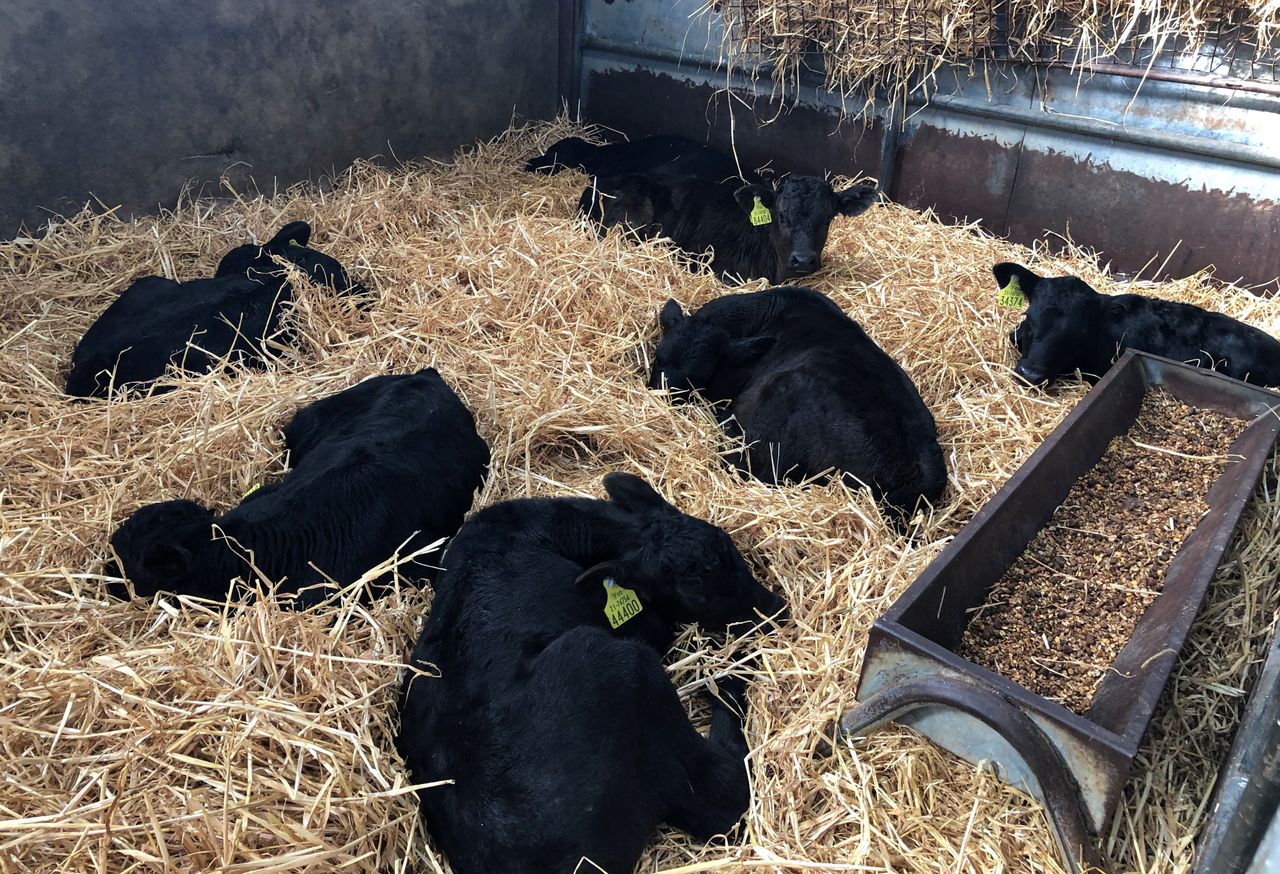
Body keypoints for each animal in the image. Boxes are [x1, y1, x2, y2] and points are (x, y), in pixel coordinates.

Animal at [397, 472, 787, 874]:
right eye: (693, 589)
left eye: (726, 543)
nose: (775, 609)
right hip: (615, 664)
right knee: (725, 798)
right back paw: (730, 675)